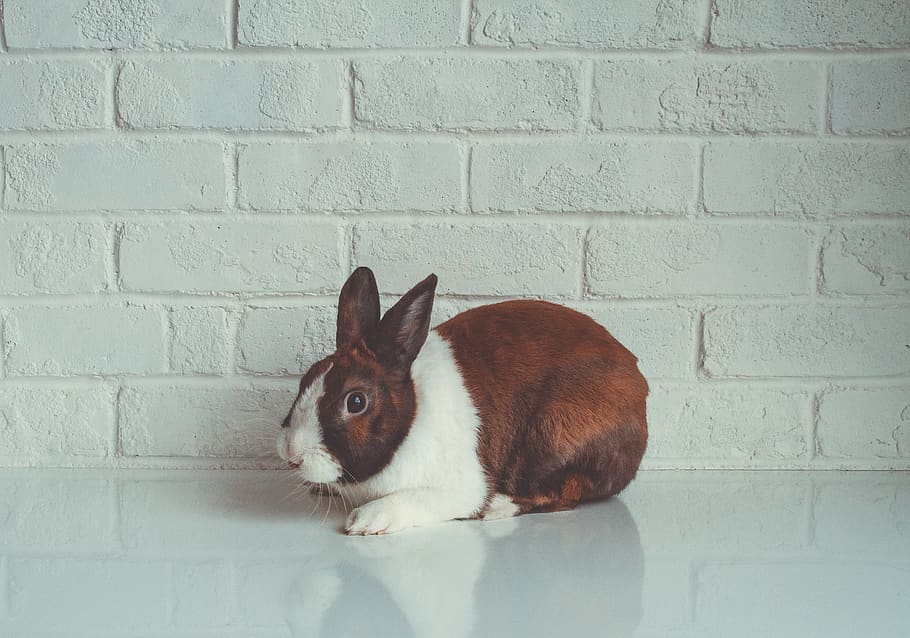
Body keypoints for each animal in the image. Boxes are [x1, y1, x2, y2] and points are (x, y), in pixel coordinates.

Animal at [277, 267, 648, 535]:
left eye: (355, 402)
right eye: (307, 378)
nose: (292, 454)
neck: (411, 416)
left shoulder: (457, 487)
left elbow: (418, 499)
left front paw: (367, 520)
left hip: (553, 437)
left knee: (565, 493)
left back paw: (498, 507)